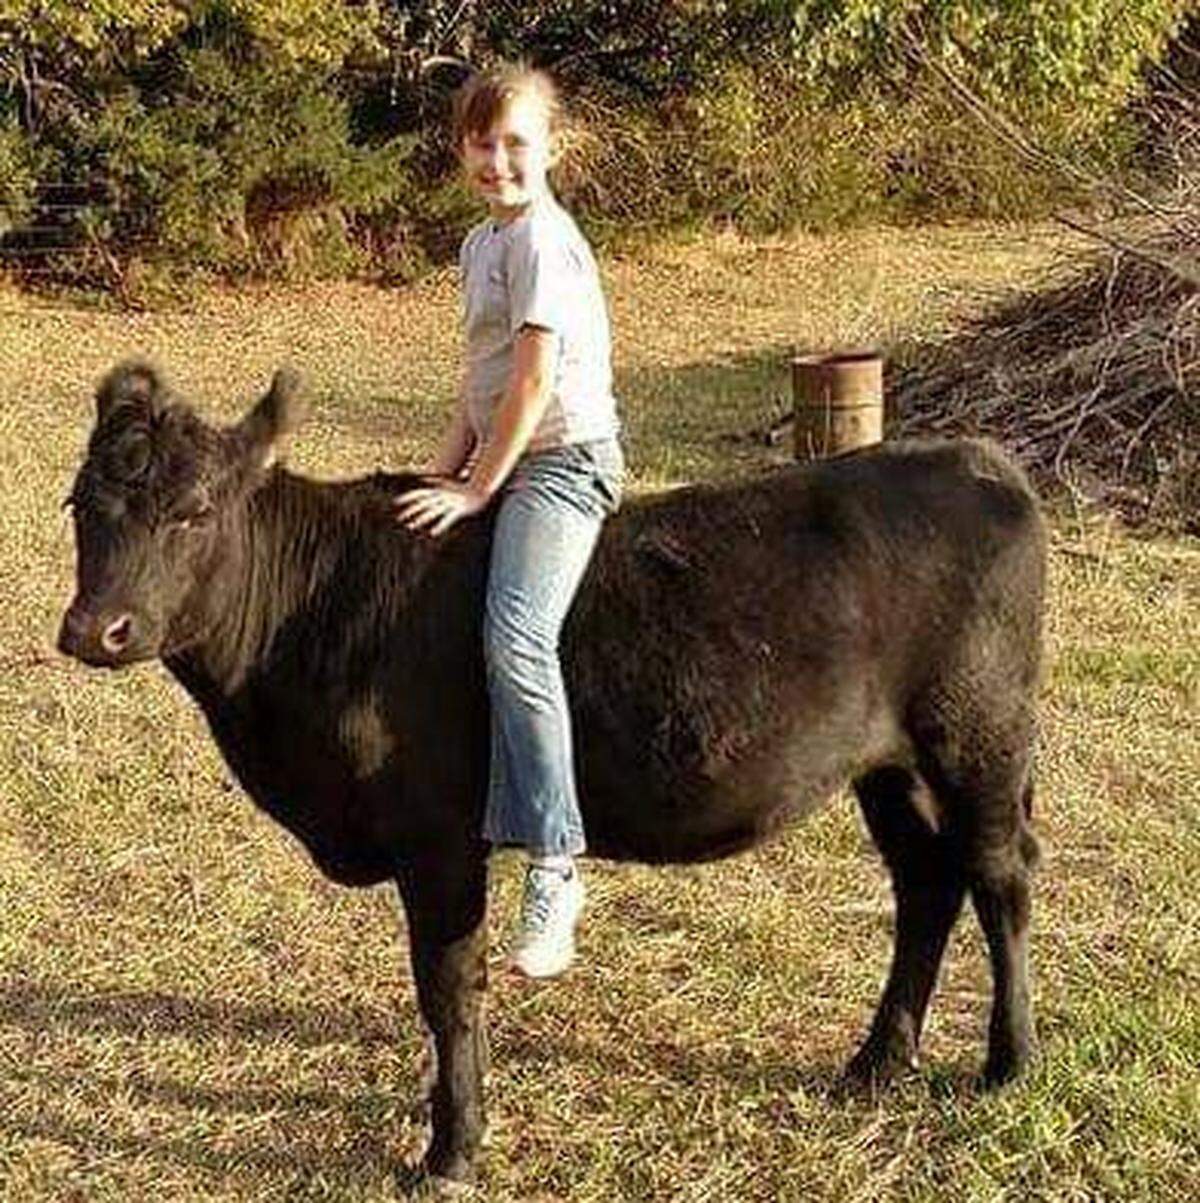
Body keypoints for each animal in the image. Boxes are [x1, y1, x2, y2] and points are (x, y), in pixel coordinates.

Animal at [58, 361, 1046, 1186]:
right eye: (78, 505)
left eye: (193, 509)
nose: (95, 629)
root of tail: (978, 459)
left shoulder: (439, 836)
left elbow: (449, 984)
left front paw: (452, 1148)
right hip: (889, 766)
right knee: (927, 883)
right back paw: (877, 1062)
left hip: (980, 739)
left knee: (999, 878)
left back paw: (1009, 1062)